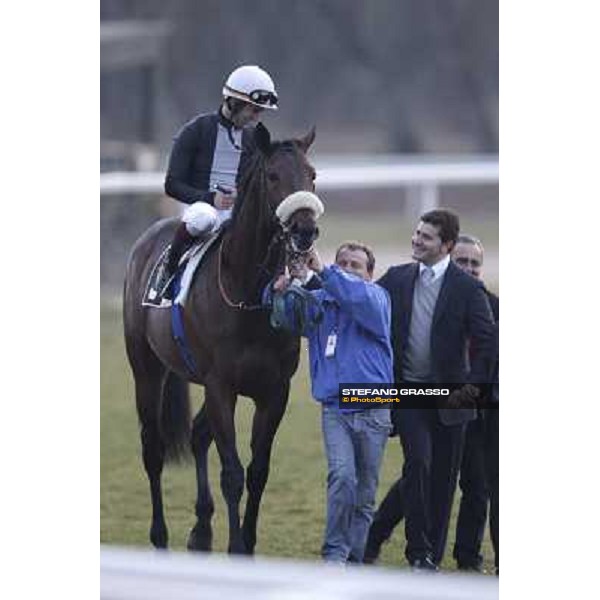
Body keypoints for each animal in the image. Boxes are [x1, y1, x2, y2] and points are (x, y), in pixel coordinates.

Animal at [122, 124, 318, 556]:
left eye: (313, 175)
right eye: (273, 176)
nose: (306, 230)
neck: (247, 294)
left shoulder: (273, 391)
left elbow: (258, 471)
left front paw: (246, 541)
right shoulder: (221, 387)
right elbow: (232, 473)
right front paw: (237, 546)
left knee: (197, 436)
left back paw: (201, 532)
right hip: (146, 369)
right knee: (152, 448)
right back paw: (160, 537)